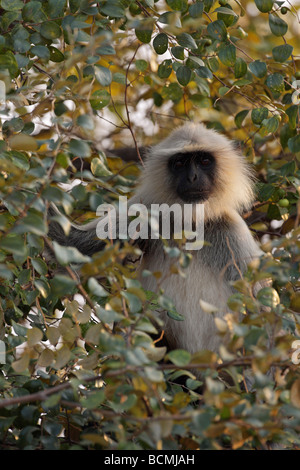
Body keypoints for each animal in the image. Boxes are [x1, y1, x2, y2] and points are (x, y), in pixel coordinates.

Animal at [48, 123, 262, 354]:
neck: (189, 224)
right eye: (180, 163)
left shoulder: (231, 231)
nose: (192, 177)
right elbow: (73, 248)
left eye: (204, 161)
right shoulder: (148, 212)